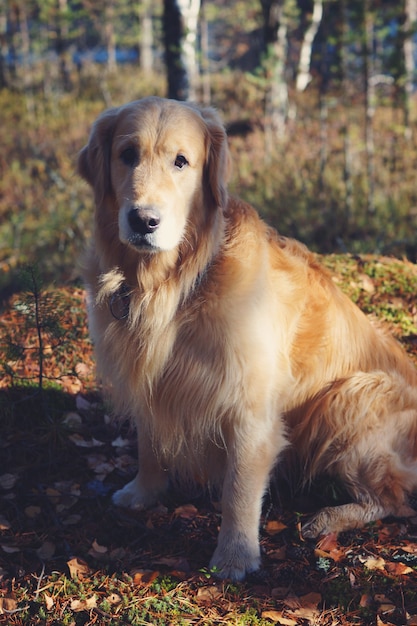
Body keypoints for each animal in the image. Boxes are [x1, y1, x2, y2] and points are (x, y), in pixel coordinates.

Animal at [77, 96, 416, 580]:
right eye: (127, 155)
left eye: (181, 161)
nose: (143, 220)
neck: (175, 284)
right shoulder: (152, 379)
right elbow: (149, 442)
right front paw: (144, 491)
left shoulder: (248, 408)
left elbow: (238, 489)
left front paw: (235, 556)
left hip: (350, 396)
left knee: (394, 497)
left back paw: (326, 518)